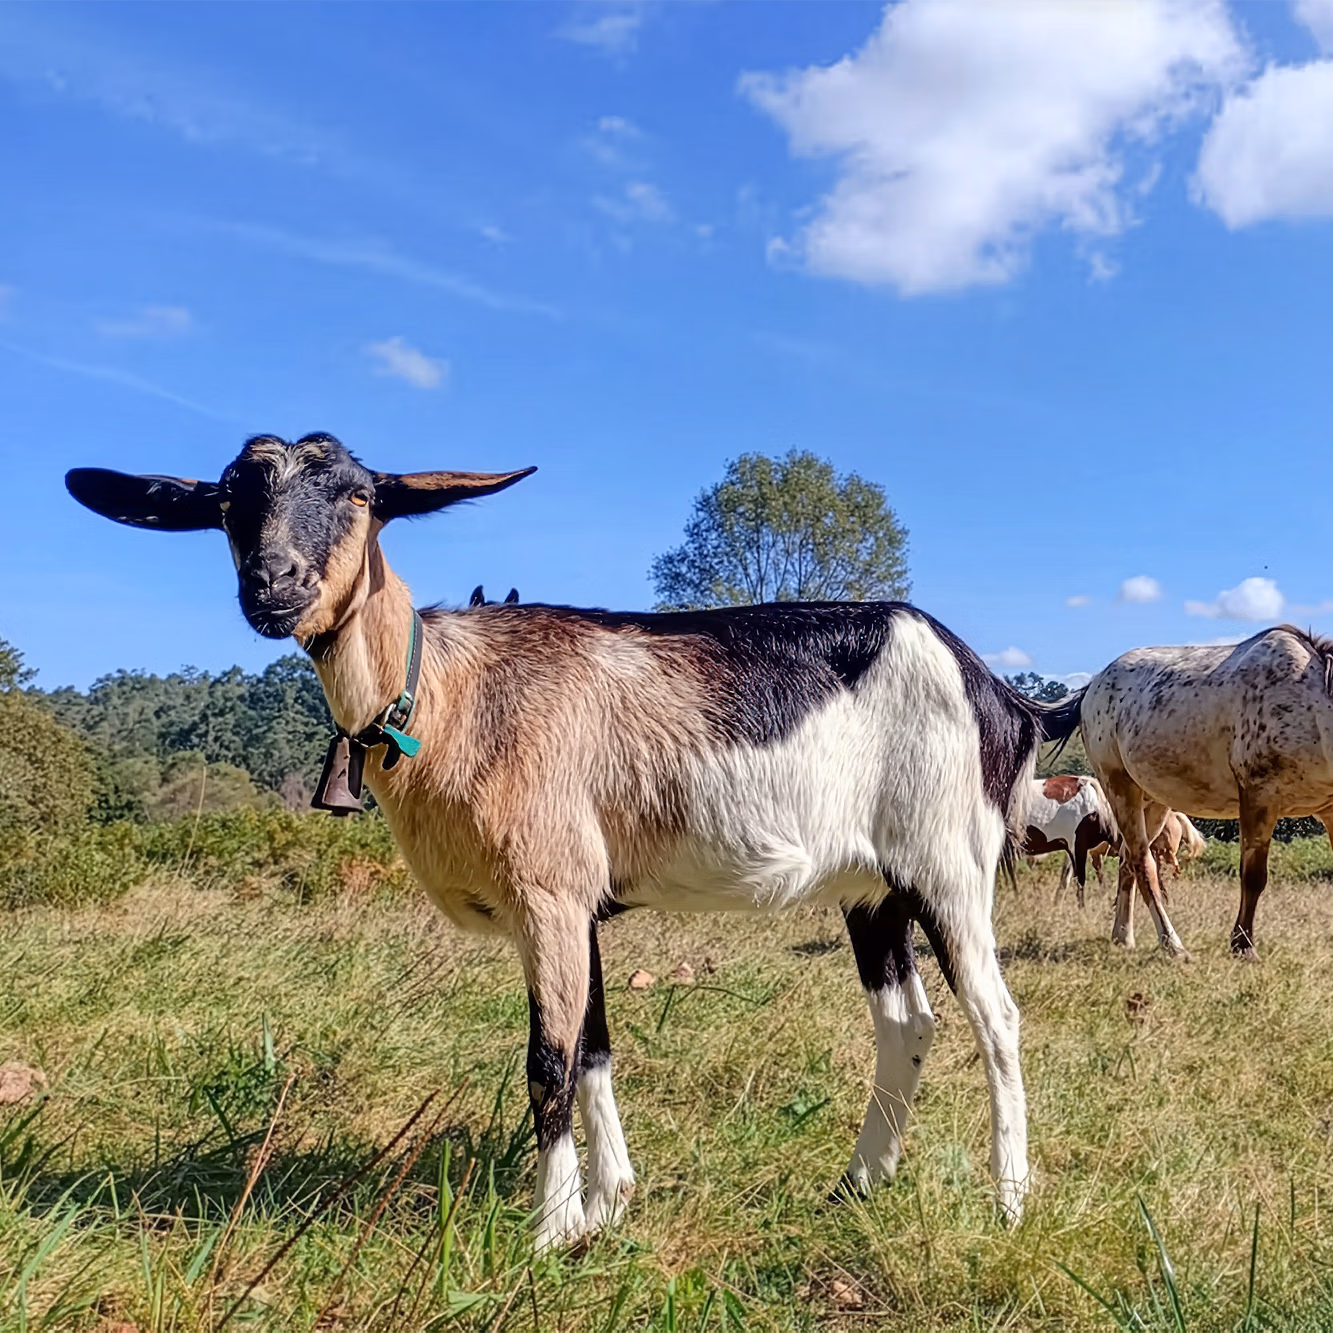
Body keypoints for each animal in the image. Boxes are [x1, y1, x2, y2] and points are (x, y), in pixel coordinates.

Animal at [67, 433, 1080, 1249]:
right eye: (229, 500)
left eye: (359, 493)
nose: (274, 584)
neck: (450, 695)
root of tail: (1003, 694)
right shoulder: (573, 904)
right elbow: (593, 1046)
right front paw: (604, 1206)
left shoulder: (549, 893)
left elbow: (547, 1063)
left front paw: (547, 1232)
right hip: (873, 889)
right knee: (907, 1023)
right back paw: (854, 1187)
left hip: (947, 865)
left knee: (996, 1017)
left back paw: (1006, 1204)